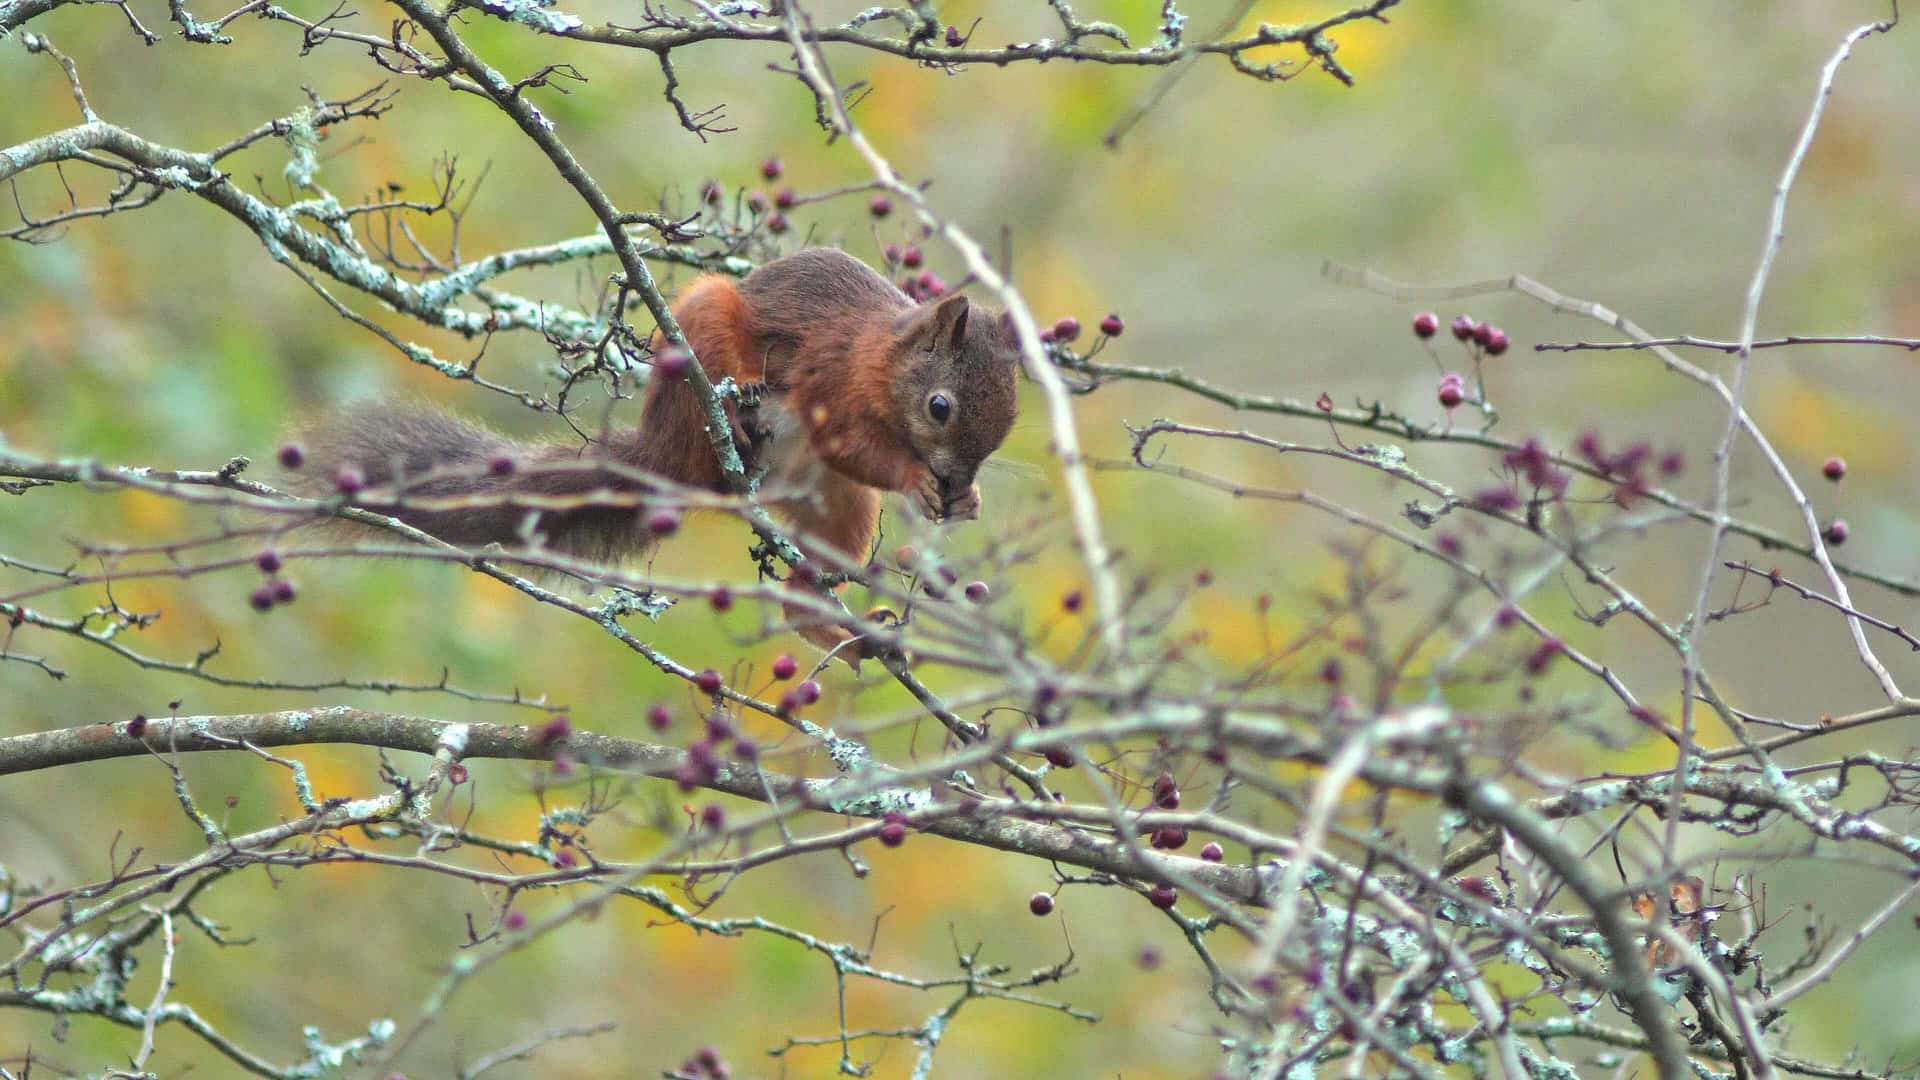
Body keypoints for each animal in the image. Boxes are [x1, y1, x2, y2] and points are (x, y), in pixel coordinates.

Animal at [286, 247, 1021, 658]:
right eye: (940, 407)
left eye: (1010, 421)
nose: (956, 478)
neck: (885, 358)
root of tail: (663, 456)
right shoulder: (832, 380)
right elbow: (852, 442)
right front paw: (917, 478)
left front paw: (970, 500)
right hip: (703, 342)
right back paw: (738, 416)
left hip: (835, 504)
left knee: (803, 586)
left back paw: (837, 635)